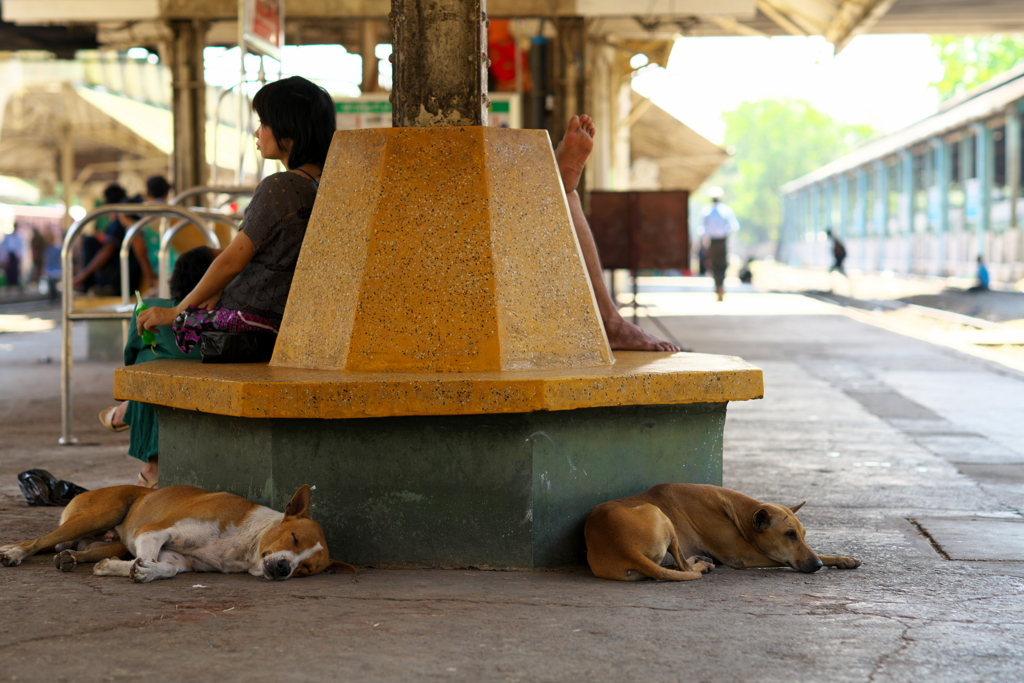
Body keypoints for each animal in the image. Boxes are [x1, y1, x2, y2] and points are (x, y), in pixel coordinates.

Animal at [0, 483, 352, 585]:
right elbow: (147, 556)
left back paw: (73, 558)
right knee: (39, 541)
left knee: (84, 550)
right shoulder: (153, 531)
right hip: (99, 514)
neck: (245, 546)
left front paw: (135, 570)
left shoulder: (178, 558)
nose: (283, 568)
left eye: (305, 569)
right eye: (293, 538)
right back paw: (14, 552)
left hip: (109, 543)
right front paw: (138, 571)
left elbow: (165, 566)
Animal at [581, 481, 860, 581]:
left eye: (803, 534)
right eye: (789, 535)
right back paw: (700, 564)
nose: (816, 566)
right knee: (684, 566)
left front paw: (842, 558)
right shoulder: (743, 556)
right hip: (658, 514)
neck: (738, 511)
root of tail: (623, 546)